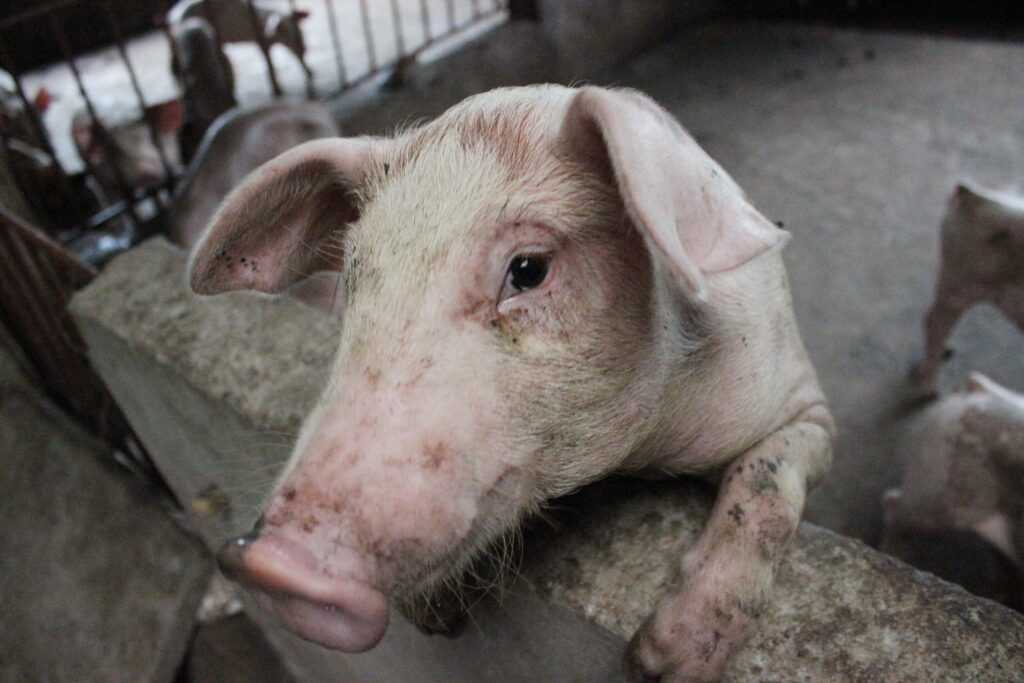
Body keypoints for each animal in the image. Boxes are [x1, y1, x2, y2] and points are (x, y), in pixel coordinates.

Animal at [168, 0, 310, 75]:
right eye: (285, 32)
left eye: (297, 28)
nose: (304, 47)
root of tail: (172, 17)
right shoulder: (262, 40)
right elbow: (269, 58)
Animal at [189, 85, 834, 682]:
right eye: (355, 276)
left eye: (528, 269)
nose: (273, 565)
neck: (637, 459)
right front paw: (431, 617)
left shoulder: (801, 400)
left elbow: (766, 482)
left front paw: (660, 663)